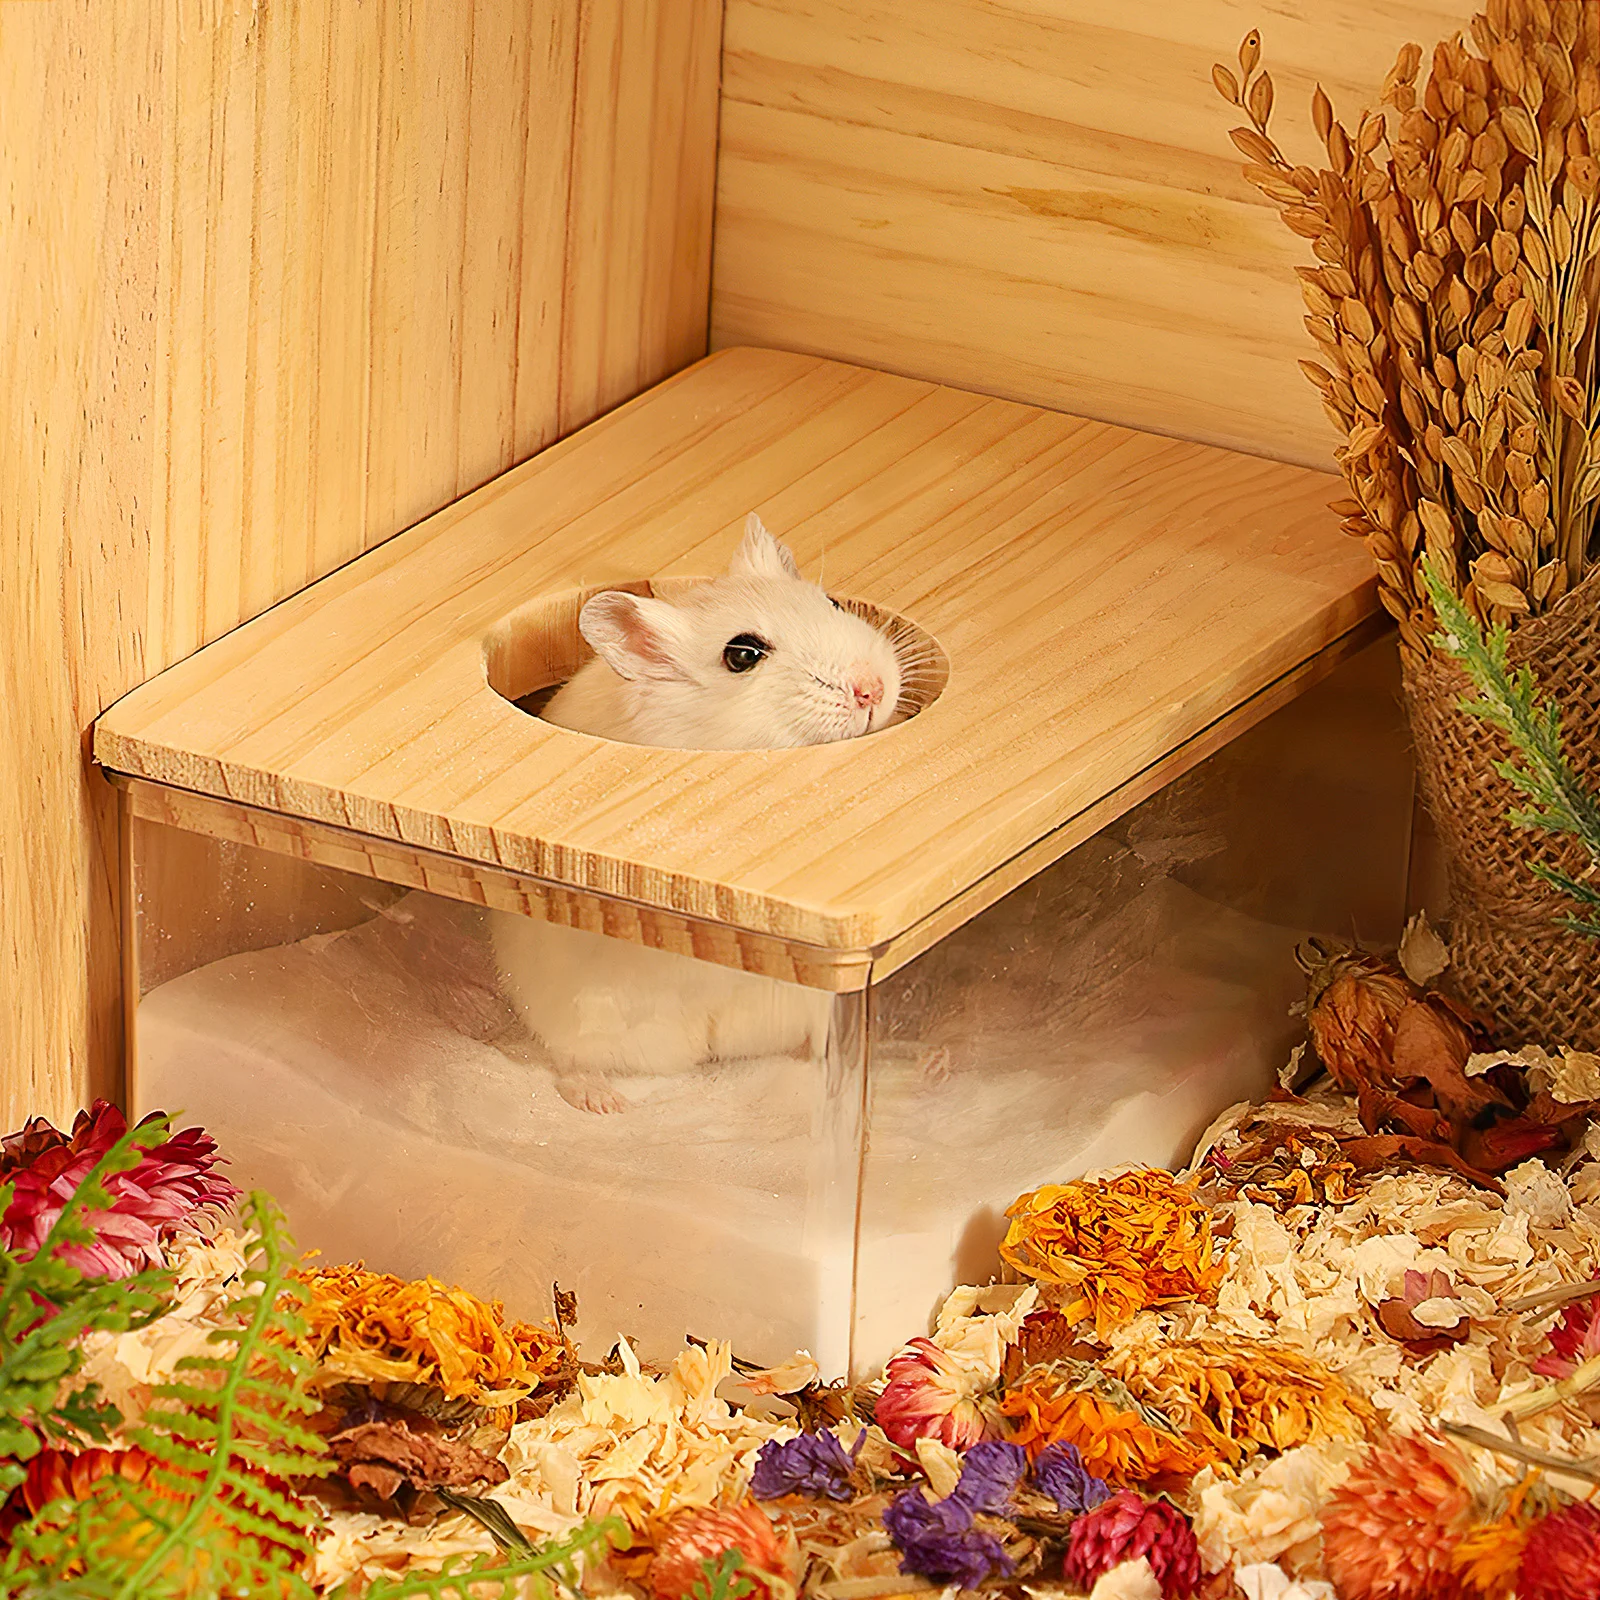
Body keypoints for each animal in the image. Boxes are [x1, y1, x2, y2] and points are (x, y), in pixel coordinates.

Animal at [493, 515, 916, 1113]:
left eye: (833, 602)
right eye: (742, 655)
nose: (871, 690)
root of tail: (711, 1048)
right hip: (578, 1018)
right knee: (571, 1062)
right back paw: (603, 1103)